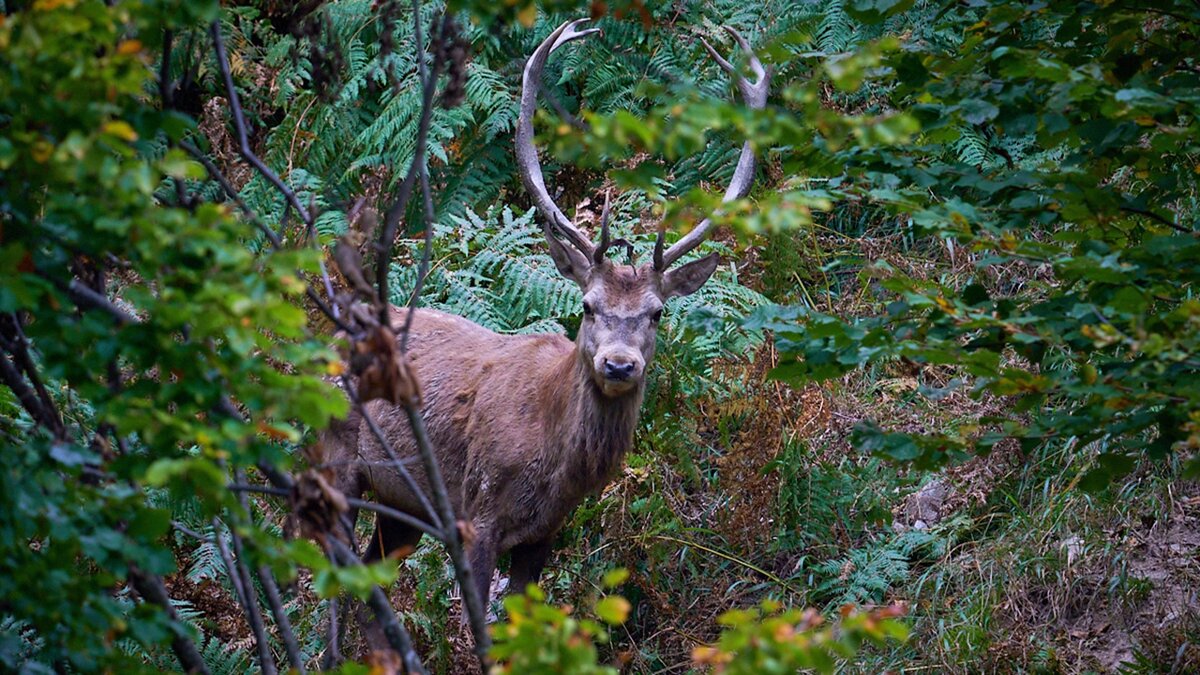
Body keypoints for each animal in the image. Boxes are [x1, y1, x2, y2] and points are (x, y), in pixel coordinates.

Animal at [319, 17, 768, 614]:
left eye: (657, 313)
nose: (619, 365)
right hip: (337, 460)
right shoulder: (478, 512)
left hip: (405, 510)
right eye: (587, 305)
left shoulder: (544, 535)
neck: (555, 465)